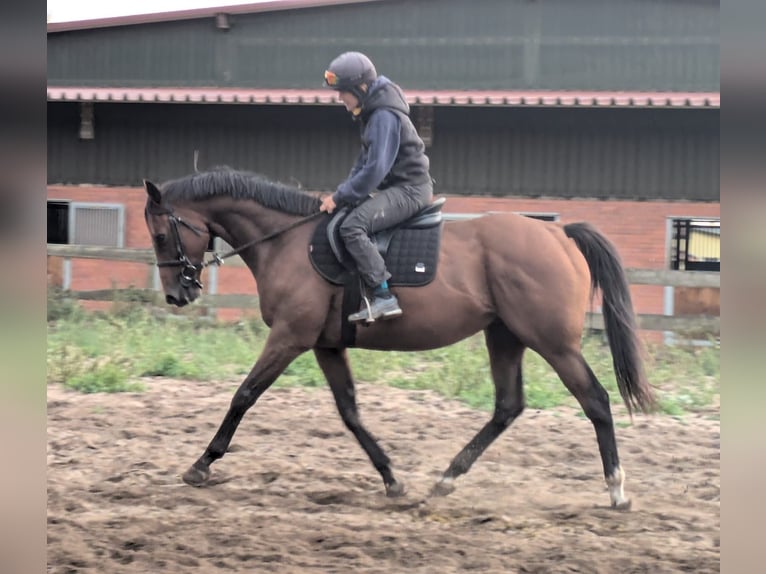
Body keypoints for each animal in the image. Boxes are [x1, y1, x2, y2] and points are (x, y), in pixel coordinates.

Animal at [142, 168, 656, 512]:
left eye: (162, 234)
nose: (176, 294)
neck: (285, 242)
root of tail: (559, 233)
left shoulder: (290, 337)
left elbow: (244, 395)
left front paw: (202, 463)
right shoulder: (326, 345)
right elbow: (350, 413)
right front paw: (391, 479)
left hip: (553, 343)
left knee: (595, 400)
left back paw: (616, 490)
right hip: (505, 336)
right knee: (508, 406)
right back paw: (447, 479)